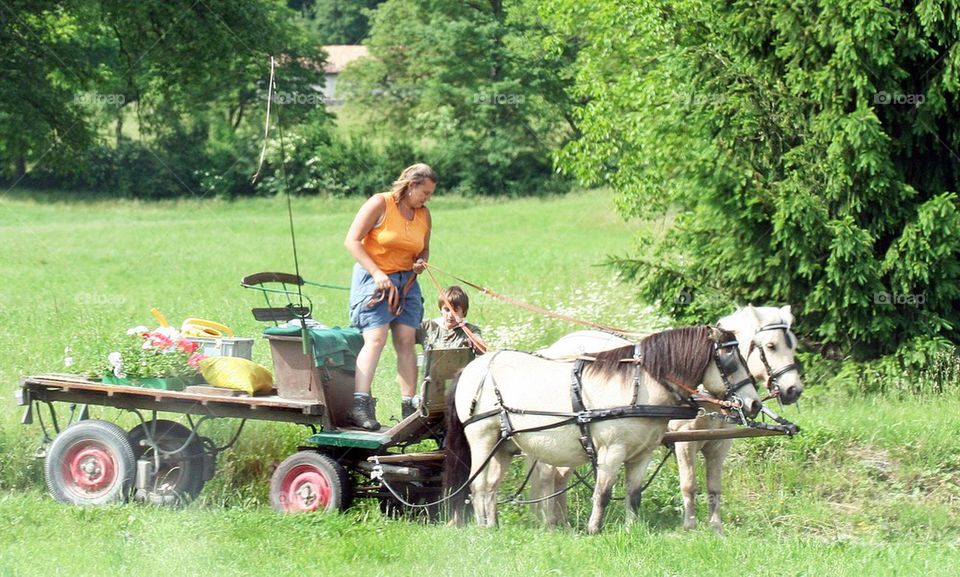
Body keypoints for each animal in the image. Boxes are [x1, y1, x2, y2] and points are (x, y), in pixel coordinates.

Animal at [444, 326, 764, 532]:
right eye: (730, 361)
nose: (754, 404)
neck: (640, 386)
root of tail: (471, 368)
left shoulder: (641, 455)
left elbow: (633, 494)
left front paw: (632, 529)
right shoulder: (611, 451)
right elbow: (603, 493)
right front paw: (593, 529)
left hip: (505, 446)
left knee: (492, 486)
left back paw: (494, 524)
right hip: (482, 439)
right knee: (478, 485)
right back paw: (484, 528)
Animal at [536, 306, 800, 532]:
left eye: (793, 346)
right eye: (771, 346)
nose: (793, 390)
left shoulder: (719, 445)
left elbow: (714, 487)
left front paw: (716, 527)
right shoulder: (685, 443)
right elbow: (689, 484)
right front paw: (690, 526)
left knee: (560, 474)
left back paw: (561, 522)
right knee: (549, 472)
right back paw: (551, 523)